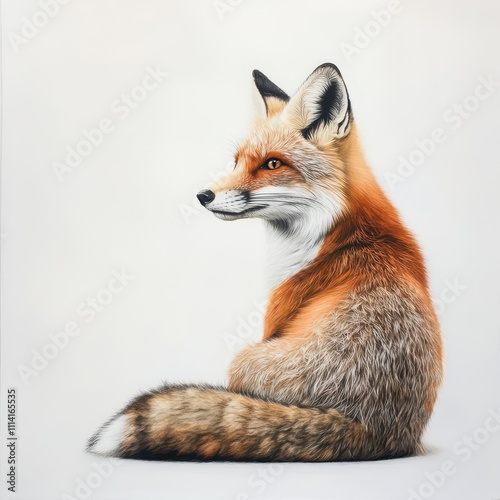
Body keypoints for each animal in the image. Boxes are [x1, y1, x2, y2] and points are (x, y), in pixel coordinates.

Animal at [89, 64, 442, 462]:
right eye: (237, 161)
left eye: (272, 163)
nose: (203, 195)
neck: (341, 230)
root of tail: (370, 429)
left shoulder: (276, 314)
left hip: (243, 359)